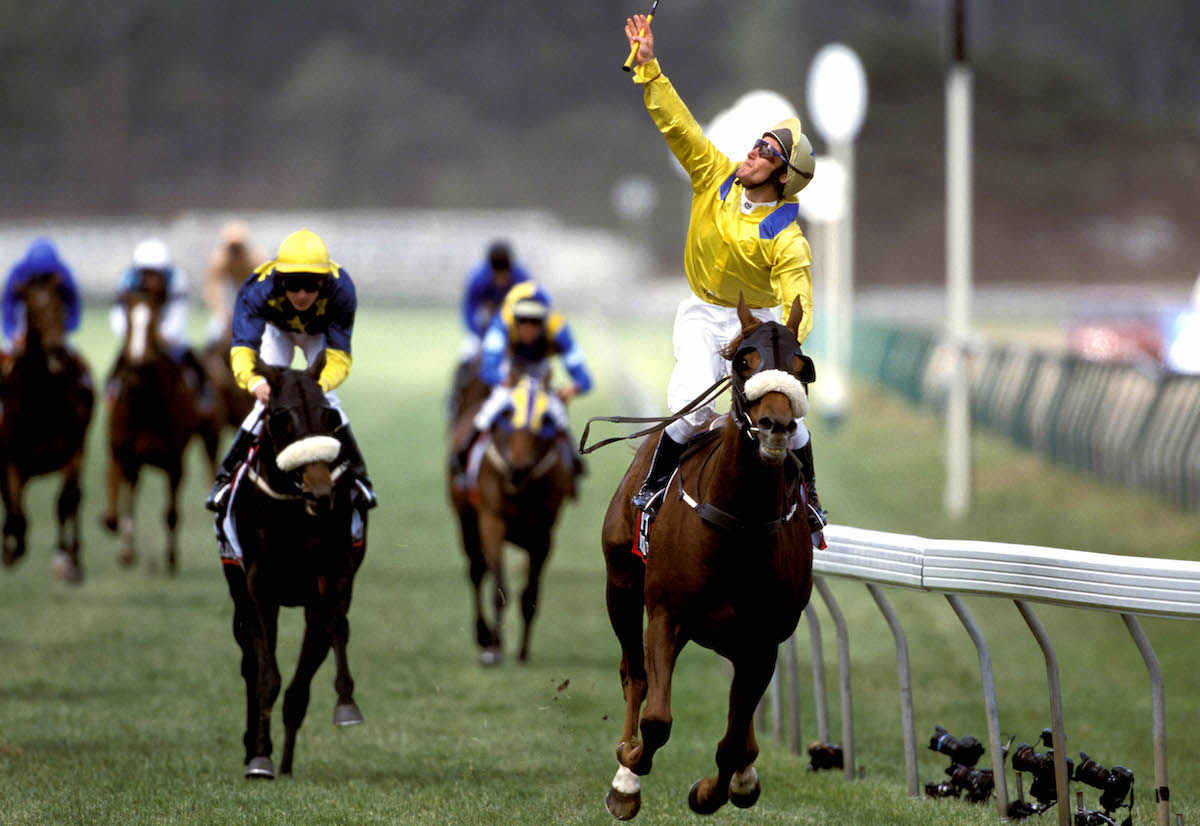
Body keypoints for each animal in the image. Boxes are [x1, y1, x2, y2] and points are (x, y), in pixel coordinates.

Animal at [0, 271, 93, 581]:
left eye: (60, 305)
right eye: (31, 308)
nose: (55, 351)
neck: (43, 406)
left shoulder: (72, 452)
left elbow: (66, 501)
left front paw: (68, 559)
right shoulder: (12, 460)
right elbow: (17, 512)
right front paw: (13, 549)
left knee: (74, 500)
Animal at [102, 291, 222, 573]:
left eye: (153, 321)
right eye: (129, 321)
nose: (138, 365)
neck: (146, 406)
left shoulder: (174, 461)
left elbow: (171, 513)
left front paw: (170, 558)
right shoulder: (129, 458)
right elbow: (128, 506)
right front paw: (127, 552)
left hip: (210, 435)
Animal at [220, 355, 367, 782]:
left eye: (328, 416)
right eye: (281, 417)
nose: (321, 494)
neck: (292, 510)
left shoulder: (330, 575)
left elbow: (332, 633)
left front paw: (346, 703)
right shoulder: (258, 585)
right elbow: (266, 676)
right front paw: (259, 759)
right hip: (239, 597)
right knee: (251, 667)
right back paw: (253, 748)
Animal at [451, 372, 573, 662]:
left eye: (546, 419)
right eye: (507, 414)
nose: (519, 468)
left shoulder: (543, 532)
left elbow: (530, 594)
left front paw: (523, 652)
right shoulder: (491, 522)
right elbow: (498, 589)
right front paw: (494, 649)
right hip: (466, 521)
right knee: (476, 572)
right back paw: (484, 637)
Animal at [600, 296, 816, 821]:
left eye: (801, 367)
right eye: (744, 362)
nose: (777, 426)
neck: (739, 520)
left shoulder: (764, 637)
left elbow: (733, 741)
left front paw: (714, 791)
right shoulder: (665, 613)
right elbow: (658, 718)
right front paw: (629, 775)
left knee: (742, 720)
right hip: (621, 584)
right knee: (634, 675)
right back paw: (625, 766)